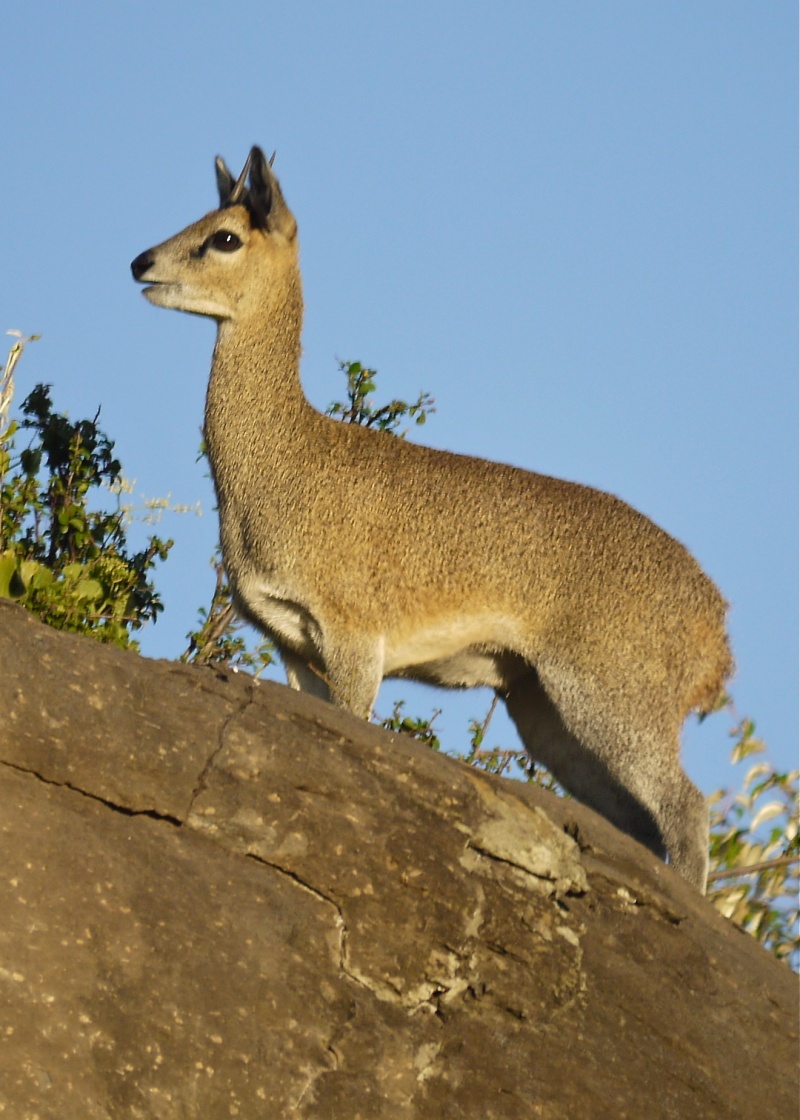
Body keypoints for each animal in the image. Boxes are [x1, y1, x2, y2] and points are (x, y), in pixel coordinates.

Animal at [129, 146, 730, 891]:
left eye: (225, 237)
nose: (141, 262)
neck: (284, 460)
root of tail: (716, 628)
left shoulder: (355, 637)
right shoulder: (292, 645)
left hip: (612, 699)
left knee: (689, 808)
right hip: (545, 713)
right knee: (643, 824)